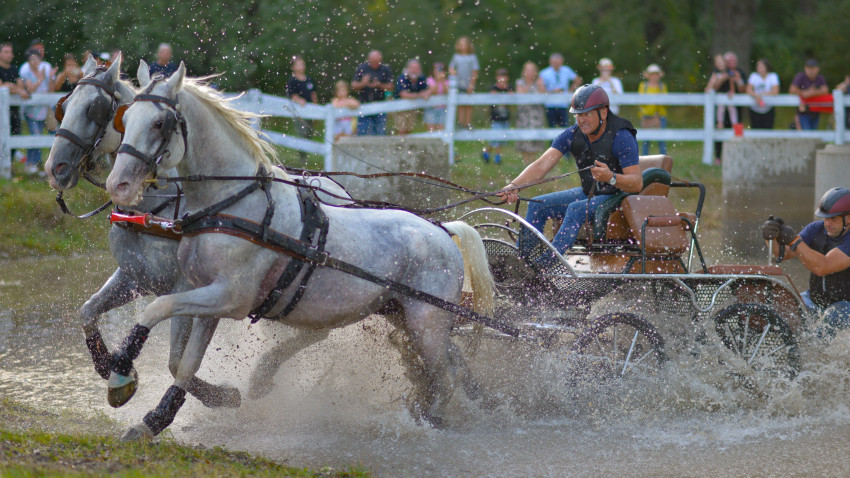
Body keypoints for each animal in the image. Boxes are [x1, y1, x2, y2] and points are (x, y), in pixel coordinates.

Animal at [40, 55, 344, 408]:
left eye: (95, 109)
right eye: (63, 106)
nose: (55, 169)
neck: (157, 209)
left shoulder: (185, 286)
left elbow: (175, 361)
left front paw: (219, 396)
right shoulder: (134, 276)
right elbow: (87, 311)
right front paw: (112, 367)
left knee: (319, 329)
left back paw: (264, 375)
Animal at [102, 63, 494, 440]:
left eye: (159, 123)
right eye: (126, 117)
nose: (118, 185)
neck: (232, 205)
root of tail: (443, 230)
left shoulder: (231, 297)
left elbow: (155, 308)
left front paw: (120, 372)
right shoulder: (206, 295)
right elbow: (184, 363)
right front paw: (156, 420)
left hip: (427, 321)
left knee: (444, 376)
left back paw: (430, 421)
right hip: (403, 314)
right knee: (452, 364)